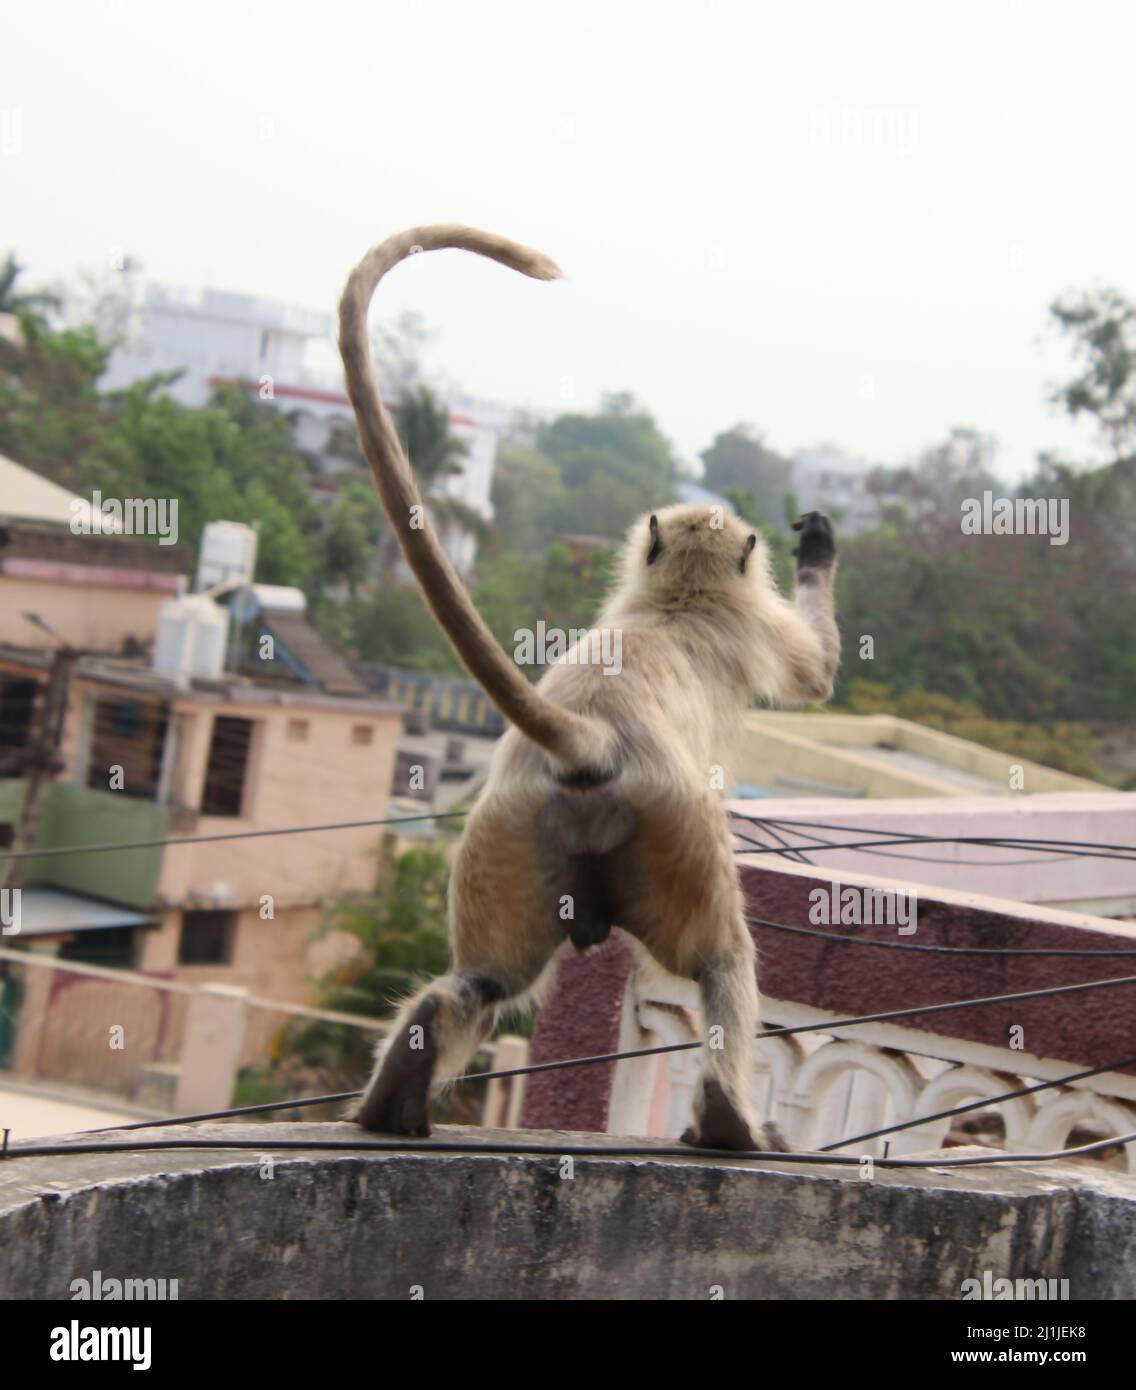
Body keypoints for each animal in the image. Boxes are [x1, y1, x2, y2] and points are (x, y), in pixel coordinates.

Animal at [332, 222, 839, 1145]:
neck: (680, 599)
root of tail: (596, 735)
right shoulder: (762, 624)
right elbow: (816, 675)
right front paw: (818, 544)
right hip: (676, 836)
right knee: (722, 961)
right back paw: (728, 1120)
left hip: (506, 832)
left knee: (482, 983)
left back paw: (395, 1098)